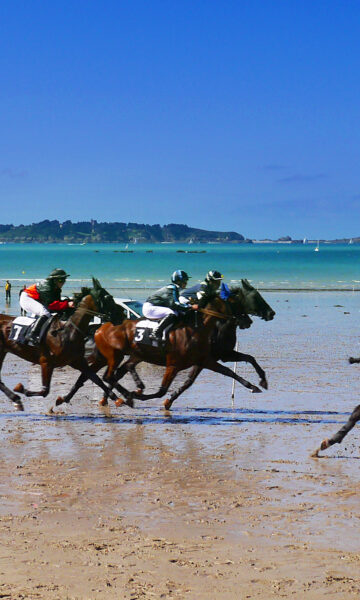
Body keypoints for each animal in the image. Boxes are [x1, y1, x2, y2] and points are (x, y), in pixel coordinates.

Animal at [0, 278, 124, 412]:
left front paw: (117, 399)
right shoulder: (46, 362)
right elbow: (45, 391)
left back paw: (15, 399)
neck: (67, 333)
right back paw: (16, 399)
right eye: (108, 297)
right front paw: (20, 389)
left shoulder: (78, 361)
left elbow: (95, 380)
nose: (121, 314)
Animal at [93, 278, 276, 410]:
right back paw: (119, 396)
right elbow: (167, 389)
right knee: (113, 374)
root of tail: (102, 327)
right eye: (256, 298)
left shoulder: (210, 358)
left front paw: (259, 383)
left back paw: (113, 397)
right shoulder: (185, 362)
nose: (271, 313)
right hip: (120, 354)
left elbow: (242, 363)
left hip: (136, 355)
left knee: (120, 371)